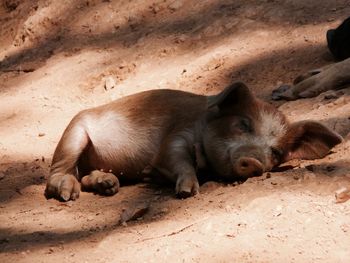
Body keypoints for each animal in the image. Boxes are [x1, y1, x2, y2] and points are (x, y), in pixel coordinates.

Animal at [43, 82, 342, 202]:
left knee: (87, 175)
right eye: (243, 124)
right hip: (74, 132)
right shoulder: (178, 134)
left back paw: (109, 185)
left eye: (277, 151)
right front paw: (187, 192)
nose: (254, 160)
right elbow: (175, 157)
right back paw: (69, 194)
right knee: (58, 174)